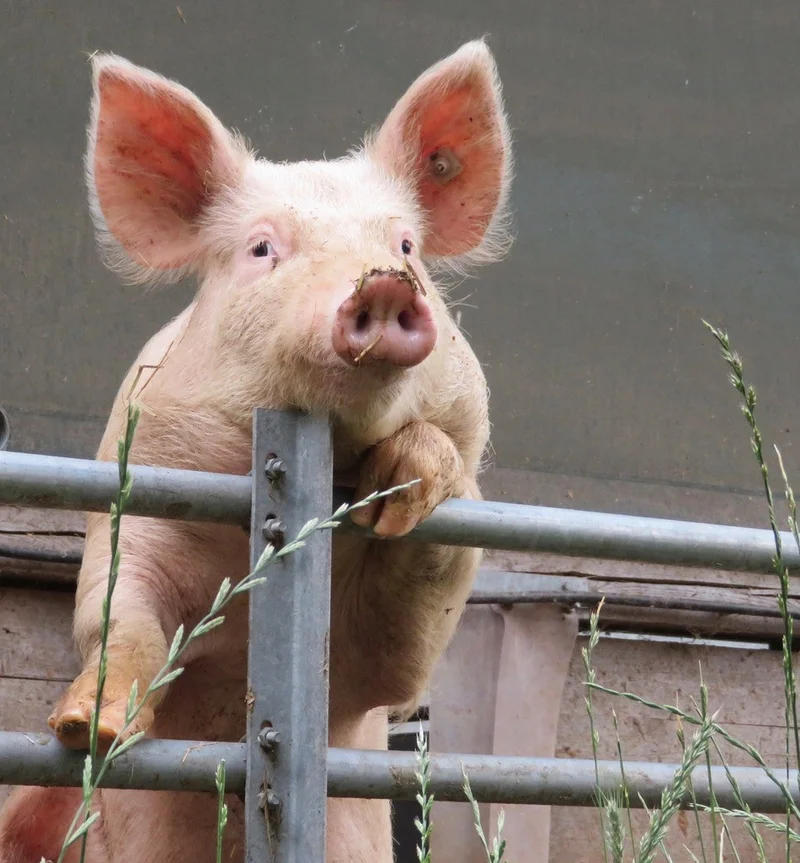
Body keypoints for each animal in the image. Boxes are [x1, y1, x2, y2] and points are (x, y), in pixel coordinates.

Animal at [0, 38, 513, 863]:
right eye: (262, 247)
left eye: (404, 245)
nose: (383, 284)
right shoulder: (134, 501)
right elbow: (121, 614)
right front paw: (89, 727)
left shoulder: (382, 675)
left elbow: (405, 643)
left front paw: (401, 485)